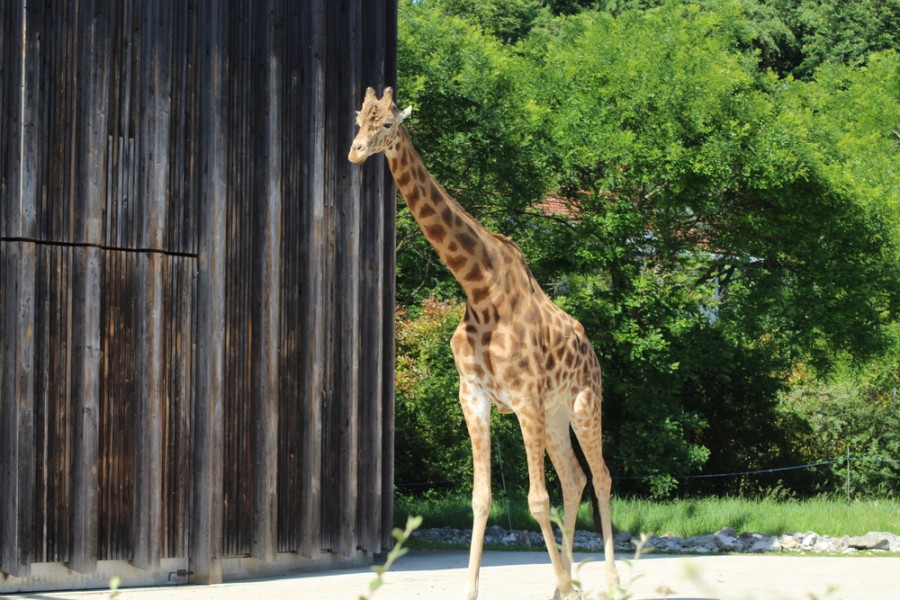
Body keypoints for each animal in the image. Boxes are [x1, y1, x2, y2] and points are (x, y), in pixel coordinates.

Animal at [350, 85, 620, 600]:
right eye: (358, 120)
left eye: (388, 123)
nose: (354, 152)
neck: (479, 287)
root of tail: (591, 348)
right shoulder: (473, 396)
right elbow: (481, 498)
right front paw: (474, 588)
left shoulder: (525, 397)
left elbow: (536, 500)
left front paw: (566, 580)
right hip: (555, 414)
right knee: (574, 479)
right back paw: (567, 585)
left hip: (582, 403)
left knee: (600, 477)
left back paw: (609, 581)